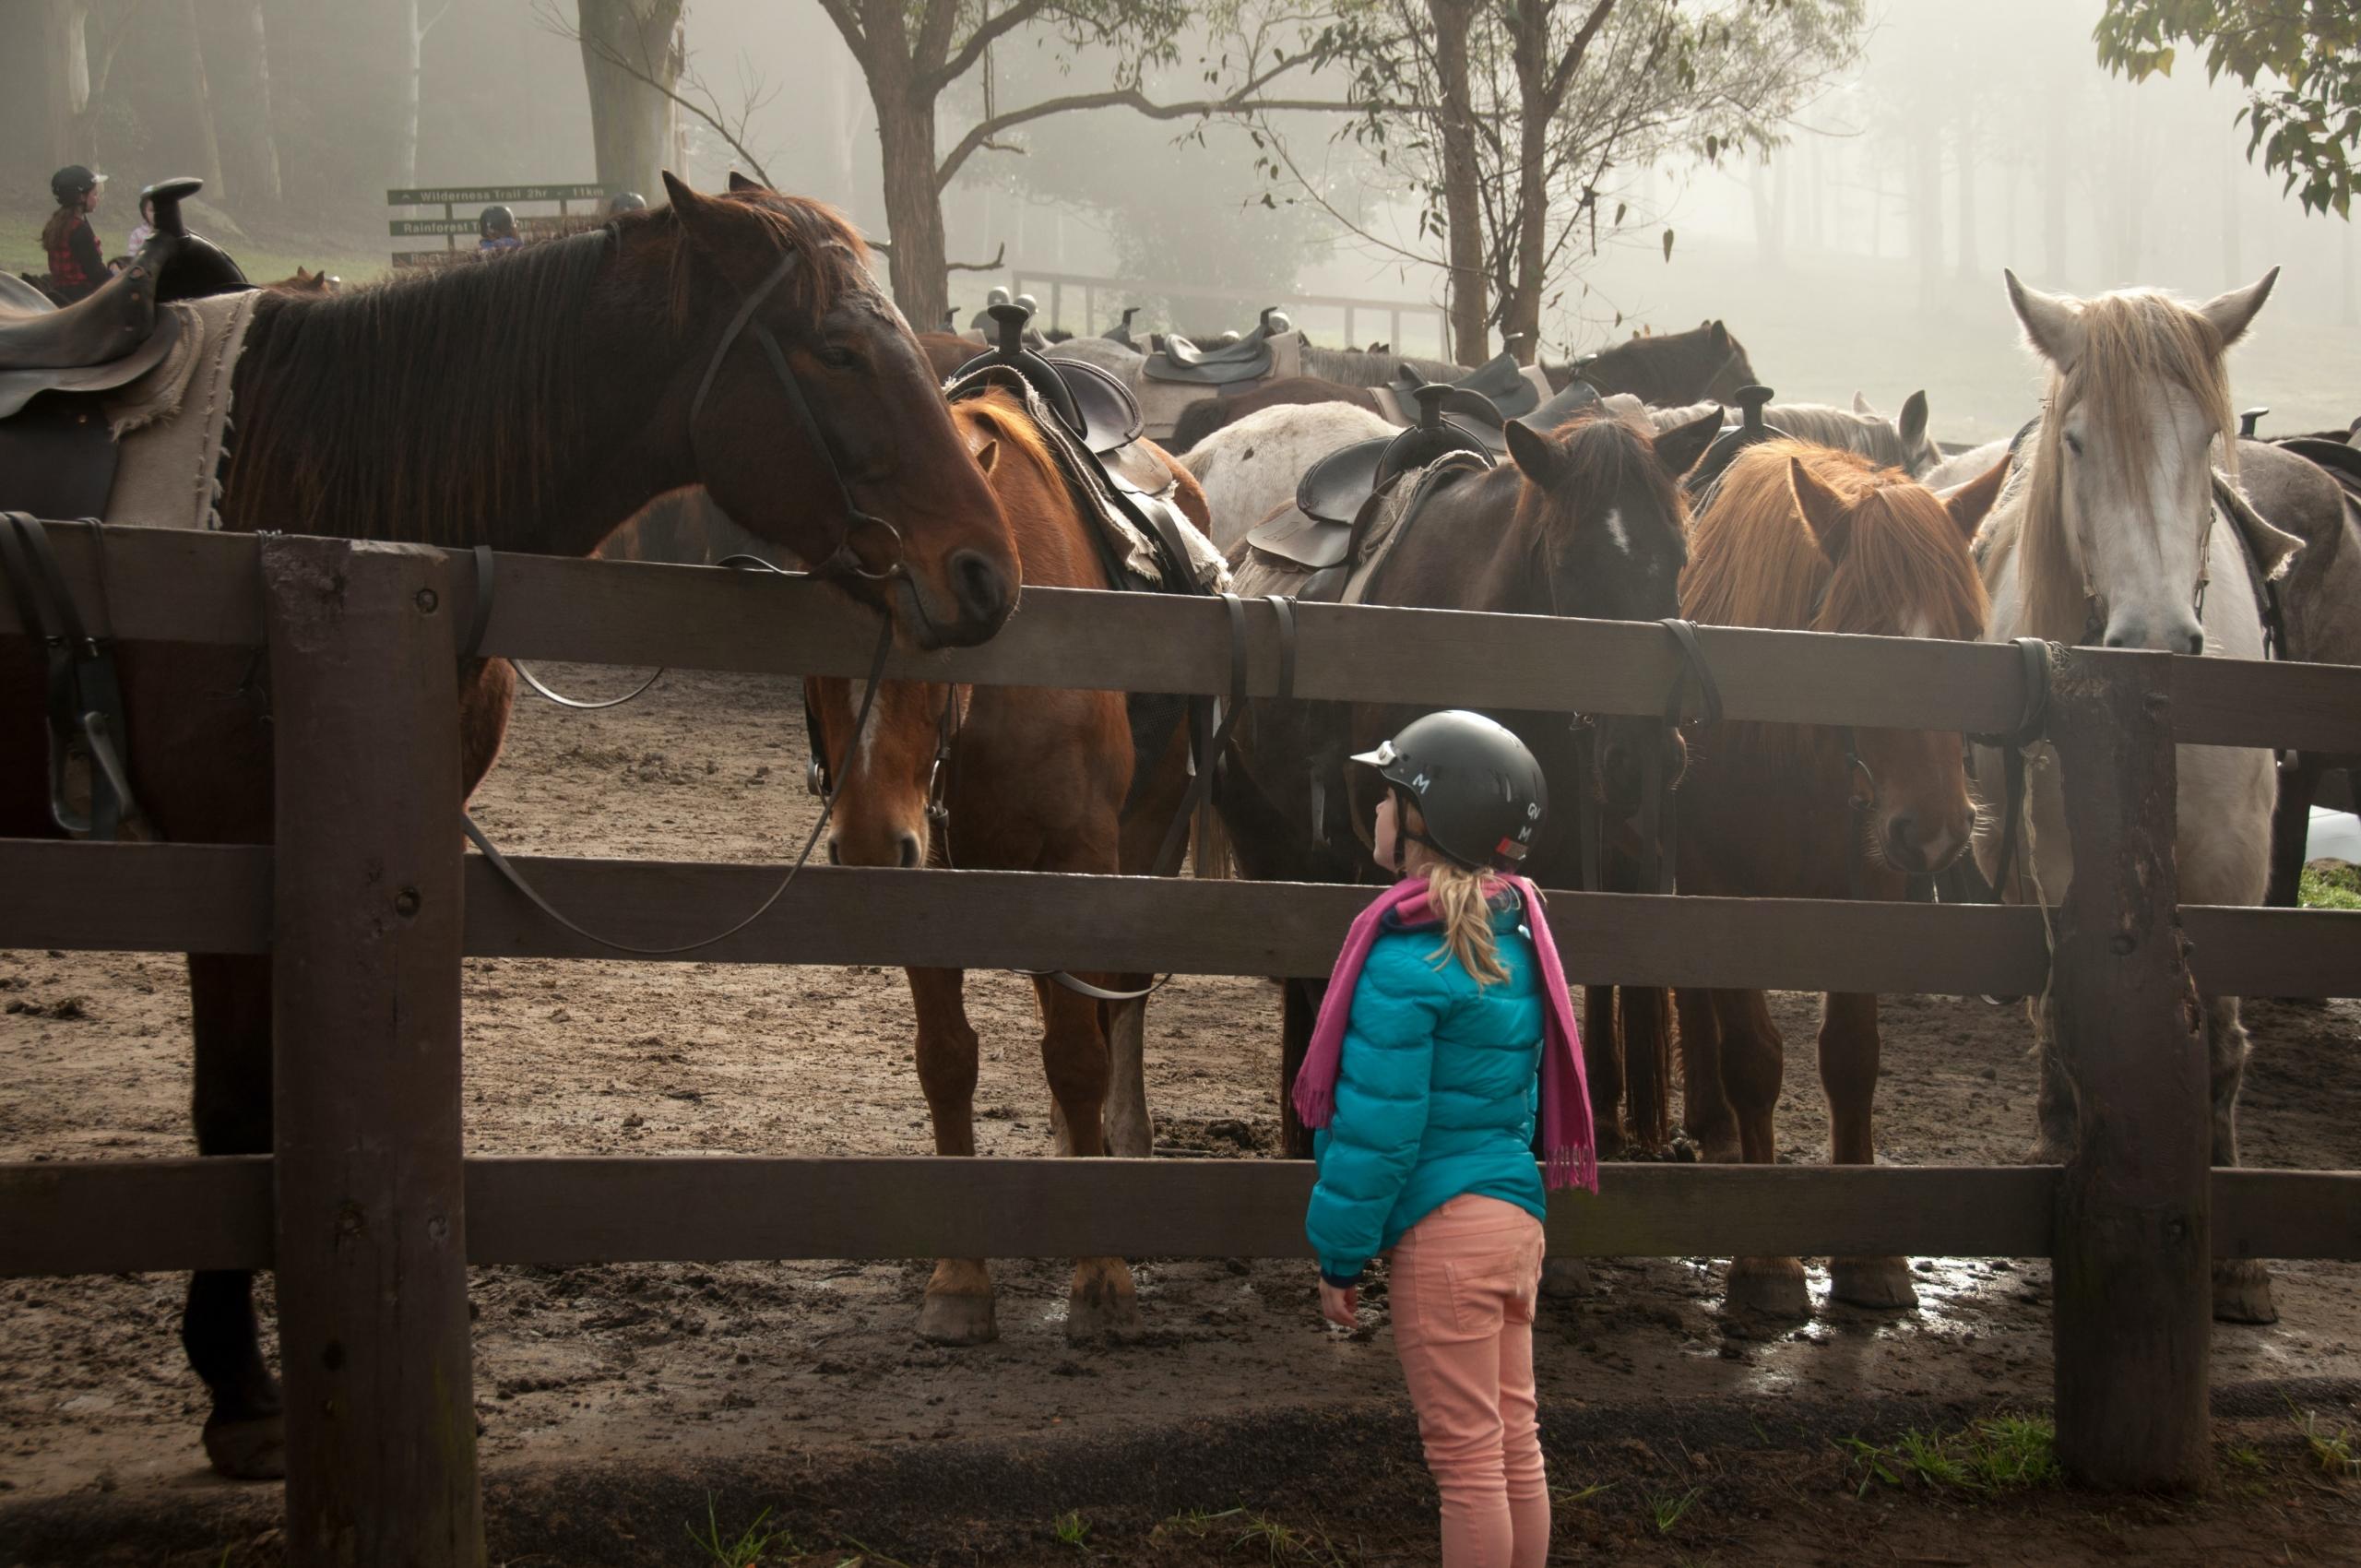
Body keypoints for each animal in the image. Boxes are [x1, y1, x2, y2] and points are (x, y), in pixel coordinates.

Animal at [0, 174, 1020, 1480]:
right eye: (836, 350)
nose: (985, 573)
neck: (311, 508)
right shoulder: (226, 858)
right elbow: (231, 1113)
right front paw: (238, 1387)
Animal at [803, 385, 1204, 1345]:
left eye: (938, 633)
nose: (868, 846)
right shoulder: (937, 879)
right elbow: (947, 1060)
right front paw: (959, 1279)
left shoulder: (1080, 862)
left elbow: (1080, 1055)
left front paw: (1102, 1275)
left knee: (1112, 1013)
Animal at [1621, 441, 2007, 1317]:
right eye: (1860, 638)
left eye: (1970, 636)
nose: (1936, 829)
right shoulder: (1720, 891)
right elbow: (1755, 1057)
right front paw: (1767, 1261)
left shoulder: (1869, 891)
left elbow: (1852, 1055)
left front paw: (1870, 1261)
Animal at [1971, 267, 2286, 1322]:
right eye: (2077, 441)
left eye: (2203, 435)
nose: (2153, 634)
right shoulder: (2067, 864)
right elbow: (2074, 1017)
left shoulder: (2235, 870)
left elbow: (2221, 1042)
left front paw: (2237, 1265)